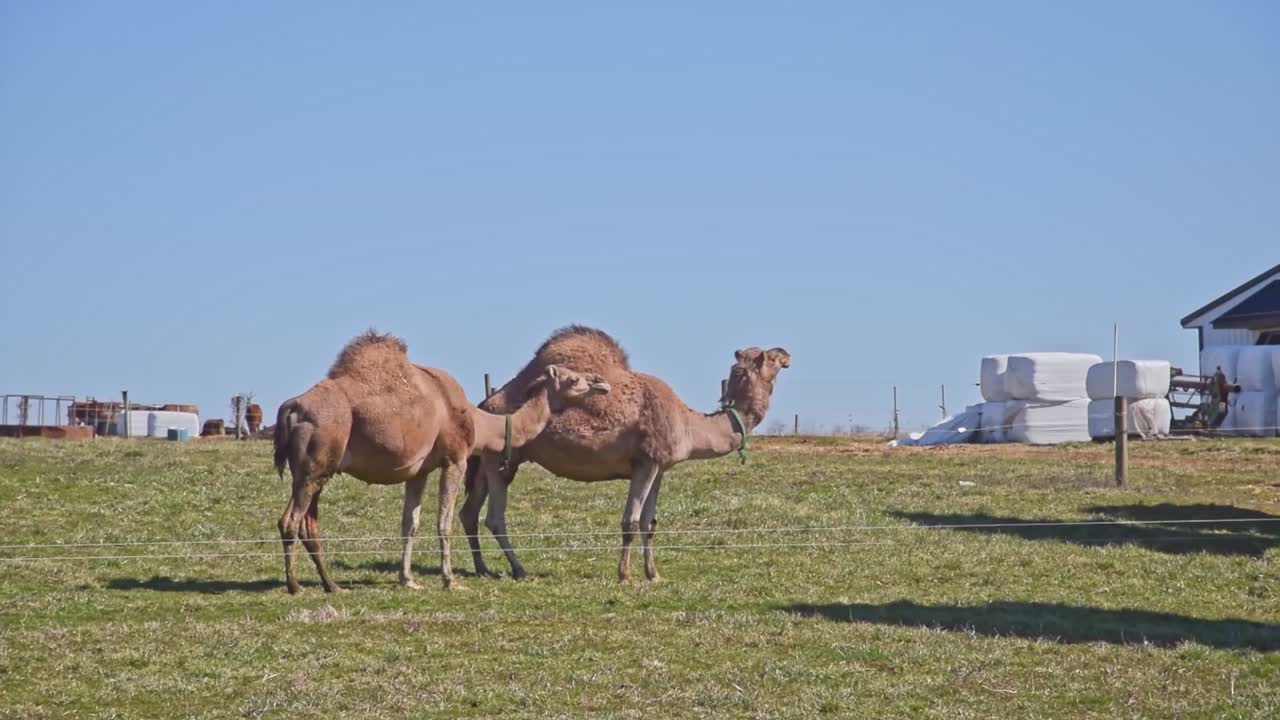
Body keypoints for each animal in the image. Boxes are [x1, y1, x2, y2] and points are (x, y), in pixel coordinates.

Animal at [272, 330, 610, 593]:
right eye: (573, 379)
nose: (601, 383)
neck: (478, 421)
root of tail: (293, 406)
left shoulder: (418, 470)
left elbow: (410, 522)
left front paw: (407, 579)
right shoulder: (455, 458)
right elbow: (444, 522)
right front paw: (450, 580)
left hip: (315, 470)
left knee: (308, 523)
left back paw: (332, 585)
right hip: (316, 463)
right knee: (290, 520)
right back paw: (295, 586)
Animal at [460, 325, 789, 582]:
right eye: (771, 358)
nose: (786, 353)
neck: (687, 423)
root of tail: (486, 404)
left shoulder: (659, 467)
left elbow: (649, 523)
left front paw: (654, 574)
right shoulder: (645, 461)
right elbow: (630, 521)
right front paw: (624, 574)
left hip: (491, 459)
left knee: (469, 511)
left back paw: (482, 569)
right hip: (503, 459)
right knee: (494, 517)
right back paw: (519, 569)